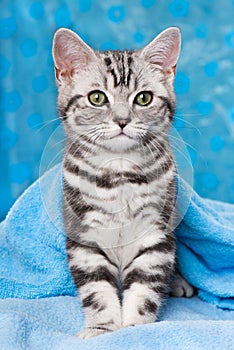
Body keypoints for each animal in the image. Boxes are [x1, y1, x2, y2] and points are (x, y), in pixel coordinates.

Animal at [52, 26, 189, 338]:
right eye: (97, 98)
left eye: (144, 98)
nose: (122, 120)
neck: (120, 173)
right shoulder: (85, 237)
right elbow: (97, 292)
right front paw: (101, 328)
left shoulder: (156, 234)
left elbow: (145, 289)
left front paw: (136, 329)